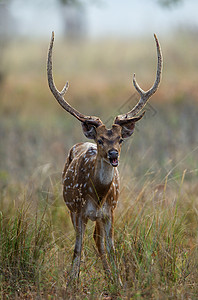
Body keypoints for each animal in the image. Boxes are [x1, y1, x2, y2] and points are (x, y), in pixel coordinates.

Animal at [46, 31, 162, 282]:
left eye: (120, 139)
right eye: (100, 140)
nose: (113, 154)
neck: (98, 194)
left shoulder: (110, 212)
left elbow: (111, 247)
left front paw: (118, 281)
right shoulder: (78, 211)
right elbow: (77, 248)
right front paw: (72, 282)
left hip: (100, 216)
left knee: (98, 242)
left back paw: (109, 276)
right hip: (70, 206)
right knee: (87, 241)